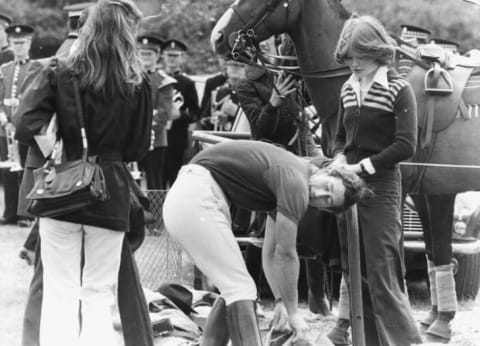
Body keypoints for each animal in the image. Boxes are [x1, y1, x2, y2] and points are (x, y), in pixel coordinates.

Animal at [212, 0, 480, 340]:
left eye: (265, 1)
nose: (219, 36)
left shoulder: (408, 190)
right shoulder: (433, 191)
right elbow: (434, 251)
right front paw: (435, 320)